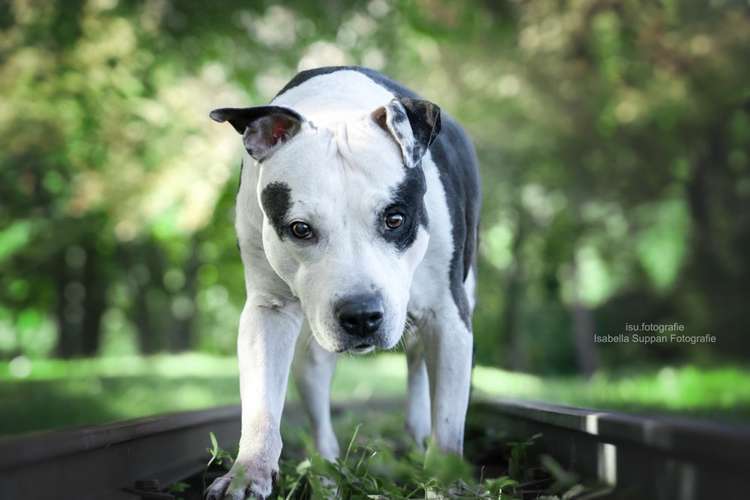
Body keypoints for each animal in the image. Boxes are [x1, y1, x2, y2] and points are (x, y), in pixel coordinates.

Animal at [206, 66, 484, 500]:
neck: (336, 108)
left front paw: (444, 480)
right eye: (300, 229)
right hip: (311, 351)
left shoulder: (448, 315)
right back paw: (326, 473)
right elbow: (261, 404)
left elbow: (449, 422)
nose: (361, 316)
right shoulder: (268, 311)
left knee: (419, 363)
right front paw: (248, 472)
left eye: (395, 218)